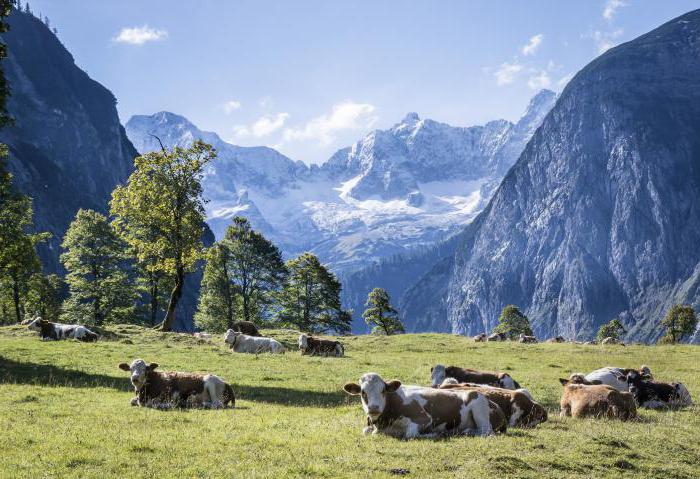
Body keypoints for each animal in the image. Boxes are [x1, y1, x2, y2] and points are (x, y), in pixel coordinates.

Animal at [342, 374, 494, 440]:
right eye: (363, 392)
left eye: (383, 390)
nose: (373, 408)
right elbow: (366, 431)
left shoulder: (425, 419)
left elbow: (411, 434)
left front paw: (434, 434)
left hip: (479, 410)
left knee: (486, 431)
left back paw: (466, 431)